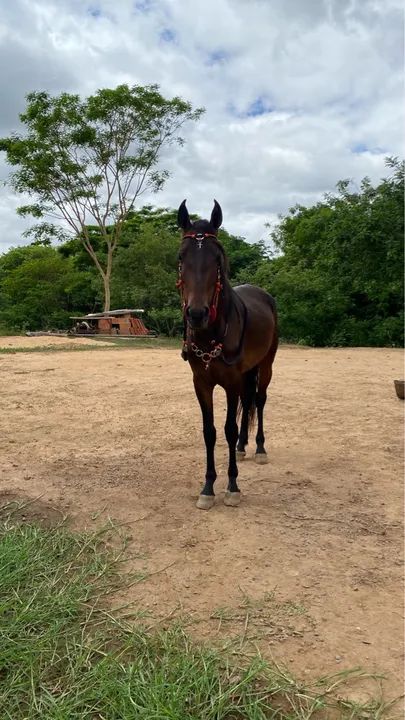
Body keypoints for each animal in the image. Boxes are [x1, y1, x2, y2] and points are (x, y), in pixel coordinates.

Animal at [177, 199, 278, 509]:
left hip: (266, 365)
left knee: (259, 399)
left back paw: (258, 448)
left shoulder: (231, 382)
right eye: (181, 257)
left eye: (217, 260)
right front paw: (208, 487)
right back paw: (243, 446)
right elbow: (209, 432)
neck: (210, 333)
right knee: (249, 400)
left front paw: (232, 486)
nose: (196, 314)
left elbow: (228, 428)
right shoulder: (202, 383)